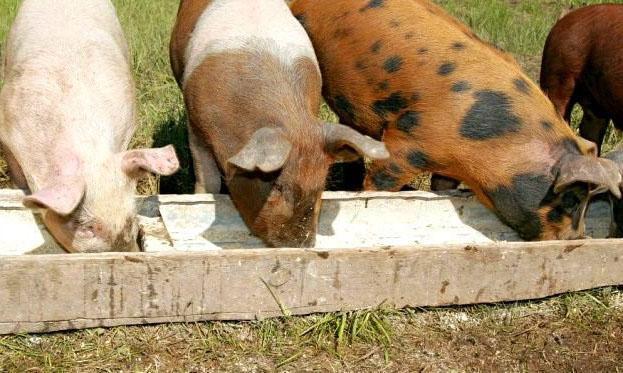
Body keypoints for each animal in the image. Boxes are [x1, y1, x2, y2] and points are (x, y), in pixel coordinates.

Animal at [168, 0, 388, 250]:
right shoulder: (194, 126)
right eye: (276, 185)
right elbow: (208, 180)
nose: (301, 244)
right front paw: (199, 196)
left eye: (321, 185)